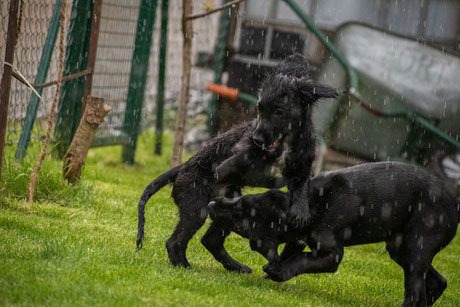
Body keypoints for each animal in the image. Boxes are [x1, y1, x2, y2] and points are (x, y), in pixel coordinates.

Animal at [137, 54, 344, 274]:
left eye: (279, 111)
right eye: (260, 109)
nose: (258, 139)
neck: (285, 144)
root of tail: (181, 168)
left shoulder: (302, 167)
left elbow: (301, 188)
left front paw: (301, 212)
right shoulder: (242, 146)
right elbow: (242, 156)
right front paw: (224, 167)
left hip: (226, 204)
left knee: (210, 240)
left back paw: (235, 266)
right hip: (196, 205)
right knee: (175, 241)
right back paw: (183, 265)